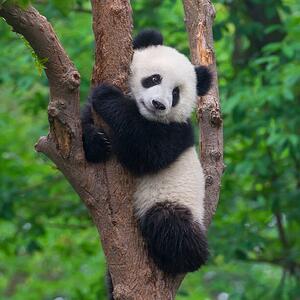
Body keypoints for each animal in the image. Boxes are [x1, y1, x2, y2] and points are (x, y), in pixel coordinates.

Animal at [82, 29, 212, 276]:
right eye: (154, 78)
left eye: (176, 93)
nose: (159, 104)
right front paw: (97, 141)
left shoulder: (176, 132)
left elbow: (145, 152)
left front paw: (107, 96)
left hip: (174, 200)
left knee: (171, 225)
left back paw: (179, 258)